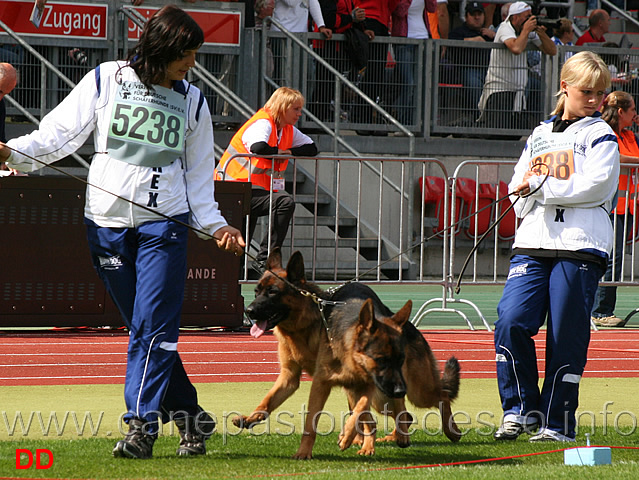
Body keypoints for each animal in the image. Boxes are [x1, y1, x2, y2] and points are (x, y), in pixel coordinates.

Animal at [235, 249, 460, 460]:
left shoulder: (341, 382)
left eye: (273, 292)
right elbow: (268, 401)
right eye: (257, 291)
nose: (249, 311)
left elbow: (332, 417)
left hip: (414, 390)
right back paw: (382, 439)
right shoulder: (292, 378)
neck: (304, 326)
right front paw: (251, 419)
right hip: (376, 392)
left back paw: (448, 431)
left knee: (438, 396)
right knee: (393, 414)